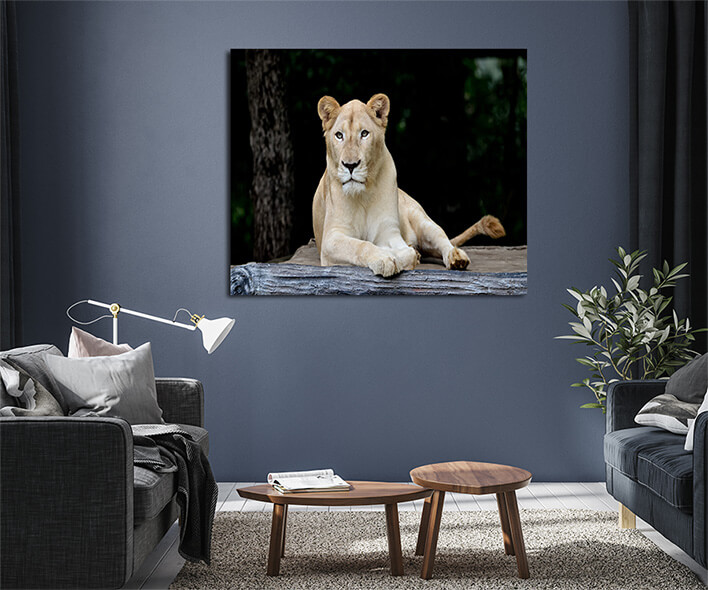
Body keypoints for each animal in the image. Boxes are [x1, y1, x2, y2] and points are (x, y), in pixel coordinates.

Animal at [312, 93, 506, 277]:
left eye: (364, 133)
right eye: (339, 135)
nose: (350, 165)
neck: (363, 194)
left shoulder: (389, 232)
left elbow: (404, 252)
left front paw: (402, 256)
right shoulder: (331, 239)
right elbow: (362, 245)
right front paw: (385, 259)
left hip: (423, 222)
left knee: (443, 242)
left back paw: (456, 257)